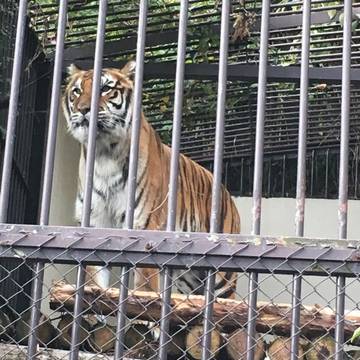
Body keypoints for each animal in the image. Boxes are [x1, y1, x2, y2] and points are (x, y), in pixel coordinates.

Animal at [62, 61, 240, 298]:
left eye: (106, 88)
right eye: (77, 91)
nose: (82, 109)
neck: (104, 154)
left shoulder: (145, 226)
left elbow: (144, 289)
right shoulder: (94, 225)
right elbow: (93, 283)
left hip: (222, 277)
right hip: (188, 278)